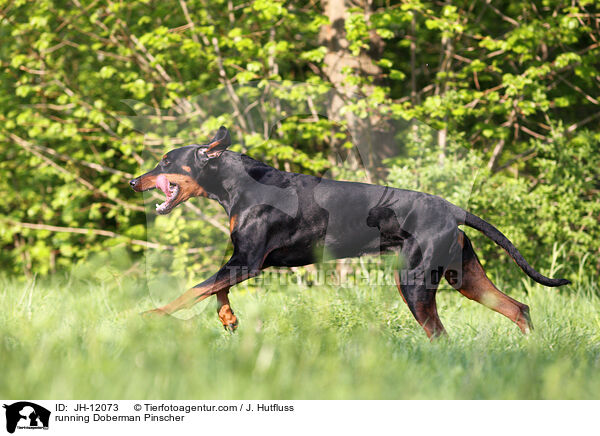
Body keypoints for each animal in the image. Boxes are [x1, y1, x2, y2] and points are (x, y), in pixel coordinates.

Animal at [129, 126, 568, 338]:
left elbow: (192, 291)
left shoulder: (248, 261)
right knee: (518, 308)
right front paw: (229, 319)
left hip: (414, 283)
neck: (240, 183)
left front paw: (151, 315)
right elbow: (213, 291)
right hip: (463, 276)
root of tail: (452, 208)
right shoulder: (244, 260)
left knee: (440, 333)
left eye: (166, 161)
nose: (134, 181)